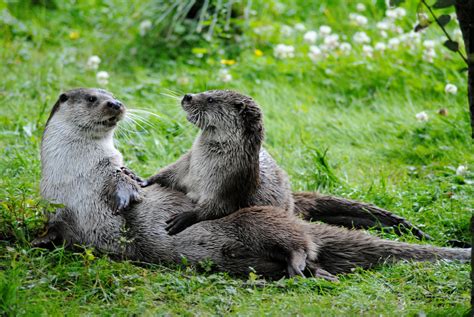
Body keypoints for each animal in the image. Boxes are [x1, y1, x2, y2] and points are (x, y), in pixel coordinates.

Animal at [143, 89, 294, 235]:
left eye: (211, 100)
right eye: (209, 91)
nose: (187, 96)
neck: (201, 171)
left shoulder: (229, 186)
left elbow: (218, 208)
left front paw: (185, 216)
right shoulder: (185, 164)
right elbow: (168, 173)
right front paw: (144, 181)